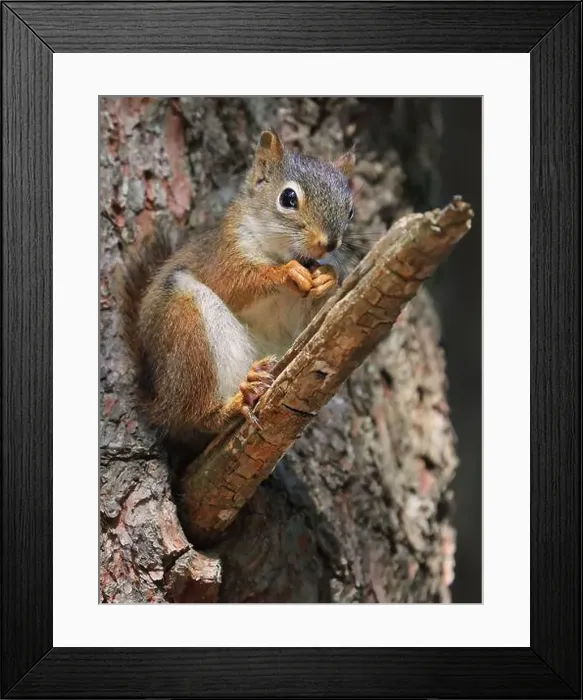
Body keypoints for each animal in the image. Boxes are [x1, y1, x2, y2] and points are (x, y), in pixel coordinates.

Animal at [117, 129, 356, 445]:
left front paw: (328, 277)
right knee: (193, 415)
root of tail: (161, 403)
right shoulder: (223, 256)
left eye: (350, 210)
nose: (328, 243)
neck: (279, 252)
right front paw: (286, 273)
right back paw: (233, 403)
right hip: (186, 330)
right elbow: (236, 284)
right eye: (288, 198)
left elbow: (307, 325)